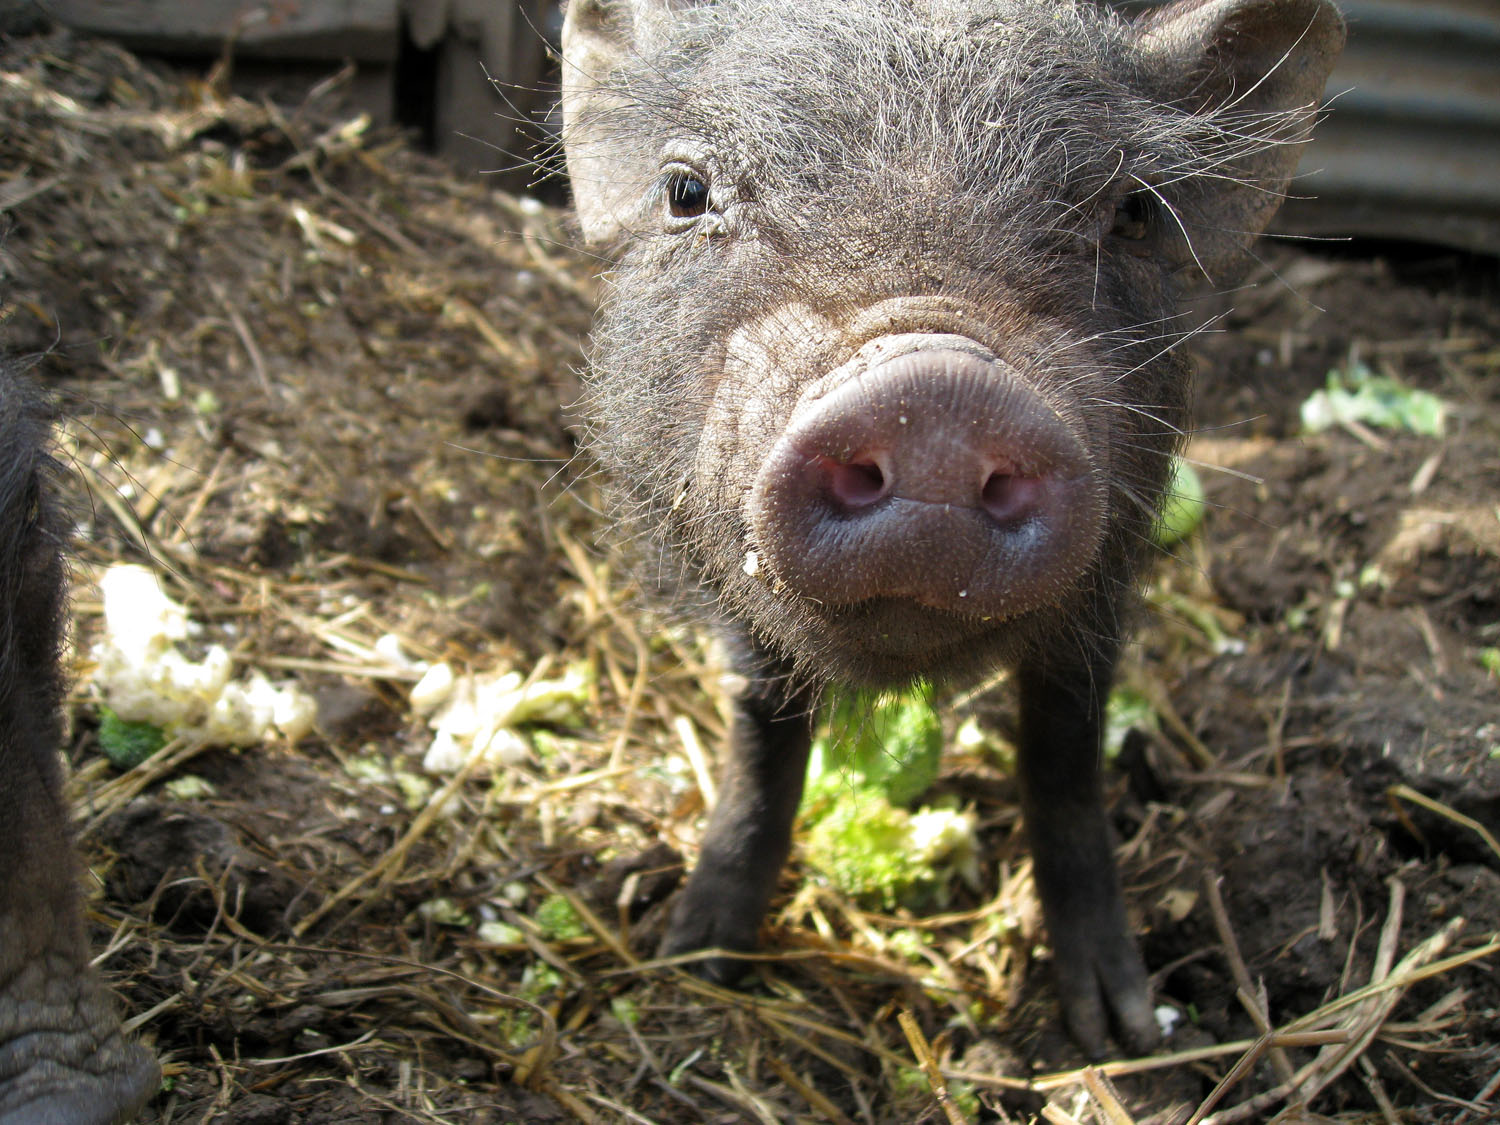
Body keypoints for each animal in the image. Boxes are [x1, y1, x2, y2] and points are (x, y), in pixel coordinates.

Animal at [560, 0, 1344, 1055]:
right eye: (687, 191)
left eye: (1133, 213)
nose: (936, 395)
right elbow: (761, 737)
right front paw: (695, 959)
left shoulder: (1107, 582)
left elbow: (1065, 751)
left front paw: (1123, 1032)